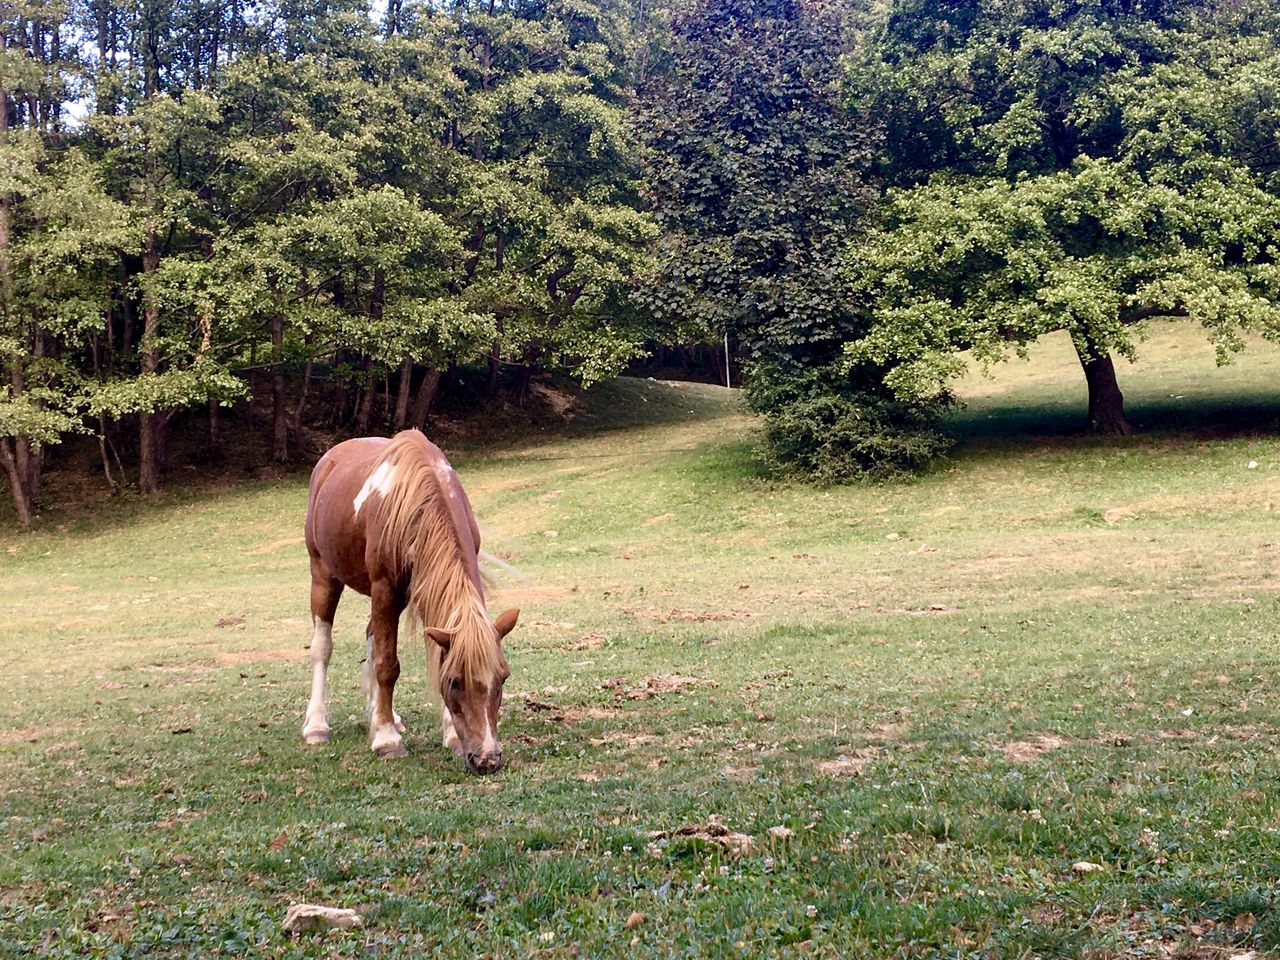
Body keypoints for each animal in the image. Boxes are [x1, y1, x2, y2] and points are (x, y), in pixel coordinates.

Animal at [300, 427, 519, 773]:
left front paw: (447, 735)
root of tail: (329, 459)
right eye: (455, 682)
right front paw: (386, 740)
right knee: (323, 648)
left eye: (503, 677)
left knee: (371, 637)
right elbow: (387, 665)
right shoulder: (384, 590)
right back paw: (317, 726)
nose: (487, 759)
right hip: (323, 575)